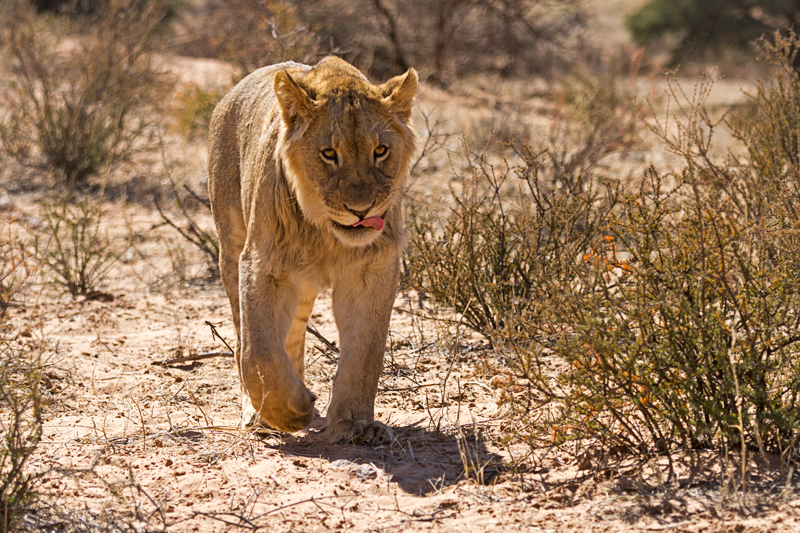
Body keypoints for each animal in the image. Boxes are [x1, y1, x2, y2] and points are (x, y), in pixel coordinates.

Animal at [206, 56, 418, 442]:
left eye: (380, 151)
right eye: (329, 154)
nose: (361, 210)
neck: (327, 235)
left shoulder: (373, 268)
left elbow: (366, 352)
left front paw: (355, 424)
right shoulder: (262, 264)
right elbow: (258, 349)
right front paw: (290, 412)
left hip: (300, 284)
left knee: (291, 335)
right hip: (230, 248)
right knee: (242, 337)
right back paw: (258, 413)